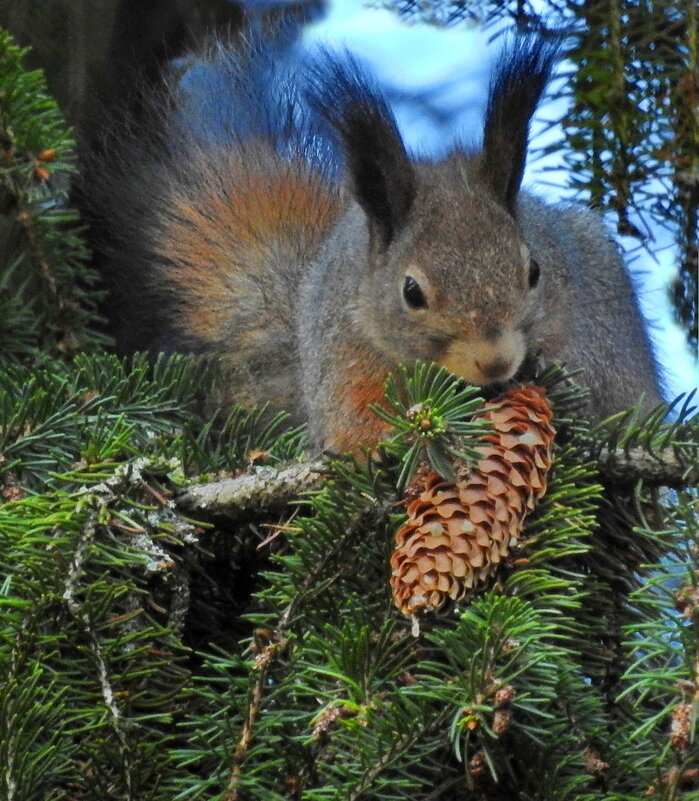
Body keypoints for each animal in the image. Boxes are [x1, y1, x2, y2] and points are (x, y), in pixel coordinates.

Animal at [82, 34, 660, 454]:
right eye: (411, 291)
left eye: (534, 271)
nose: (496, 362)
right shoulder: (345, 359)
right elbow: (357, 421)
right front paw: (382, 441)